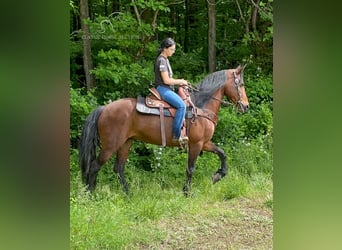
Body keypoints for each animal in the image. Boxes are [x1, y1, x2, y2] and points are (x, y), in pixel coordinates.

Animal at [79, 65, 250, 196]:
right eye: (241, 84)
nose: (246, 106)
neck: (200, 106)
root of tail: (103, 108)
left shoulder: (205, 143)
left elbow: (222, 154)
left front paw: (218, 175)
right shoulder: (196, 144)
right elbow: (190, 168)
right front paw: (187, 192)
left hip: (125, 143)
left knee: (119, 168)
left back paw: (128, 193)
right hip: (110, 146)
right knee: (94, 166)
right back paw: (90, 194)